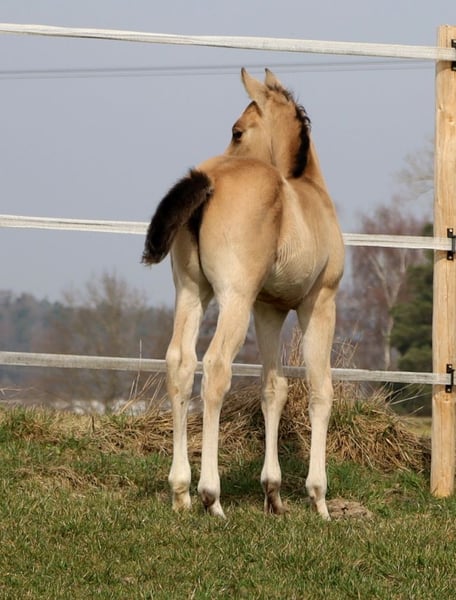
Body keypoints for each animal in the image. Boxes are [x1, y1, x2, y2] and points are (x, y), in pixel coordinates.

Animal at [142, 68, 344, 519]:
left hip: (192, 292)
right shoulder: (319, 303)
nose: (229, 146)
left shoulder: (267, 309)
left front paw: (273, 493)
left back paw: (181, 491)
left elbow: (274, 389)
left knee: (180, 363)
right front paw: (319, 498)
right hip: (232, 297)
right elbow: (320, 389)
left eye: (237, 131)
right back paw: (211, 496)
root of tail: (206, 180)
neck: (307, 191)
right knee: (216, 367)